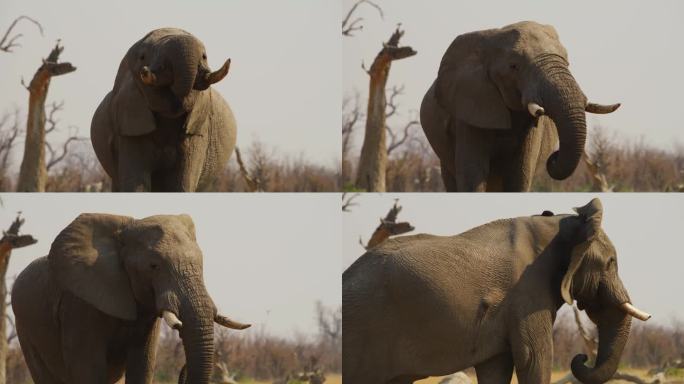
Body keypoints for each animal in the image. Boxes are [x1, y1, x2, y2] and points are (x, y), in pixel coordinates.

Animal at [12, 213, 251, 384]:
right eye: (153, 266)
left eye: (201, 264)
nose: (183, 368)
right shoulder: (79, 304)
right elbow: (88, 367)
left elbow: (142, 364)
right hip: (25, 329)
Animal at [91, 27, 236, 191]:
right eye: (142, 57)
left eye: (205, 57)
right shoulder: (129, 126)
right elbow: (135, 183)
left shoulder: (197, 132)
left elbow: (181, 184)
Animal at [344, 198, 648, 384]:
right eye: (611, 263)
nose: (581, 357)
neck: (560, 224)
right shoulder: (527, 293)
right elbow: (534, 359)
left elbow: (496, 367)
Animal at [420, 21, 624, 192]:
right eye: (514, 66)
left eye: (567, 61)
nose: (553, 157)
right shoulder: (470, 107)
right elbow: (473, 174)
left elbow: (519, 174)